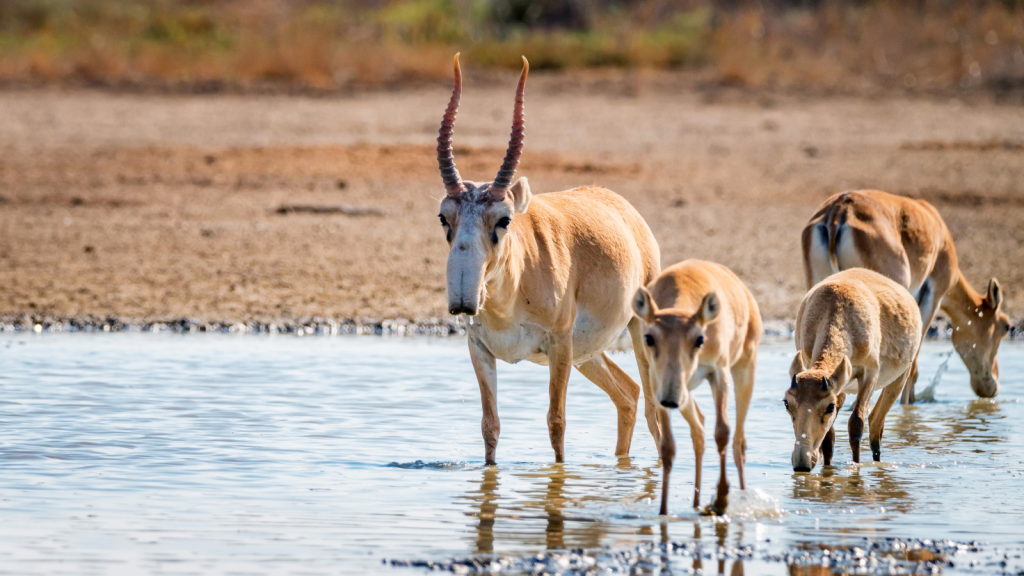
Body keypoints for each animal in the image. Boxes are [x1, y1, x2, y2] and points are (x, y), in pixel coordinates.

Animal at [434, 53, 659, 463]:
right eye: (445, 217)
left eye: (504, 219)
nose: (463, 298)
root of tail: (621, 205)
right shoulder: (480, 350)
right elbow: (489, 427)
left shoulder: (558, 346)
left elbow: (556, 422)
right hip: (588, 353)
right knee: (628, 394)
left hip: (638, 331)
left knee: (653, 408)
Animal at [630, 258, 761, 512]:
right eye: (649, 338)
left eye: (700, 339)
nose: (670, 399)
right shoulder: (659, 384)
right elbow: (667, 446)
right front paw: (663, 511)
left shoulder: (718, 374)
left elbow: (722, 432)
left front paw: (721, 499)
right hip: (684, 391)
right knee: (699, 428)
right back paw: (696, 502)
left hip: (744, 370)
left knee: (738, 442)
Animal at [782, 266, 921, 469]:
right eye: (787, 403)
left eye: (829, 407)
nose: (802, 463)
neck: (836, 306)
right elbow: (828, 437)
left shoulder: (870, 373)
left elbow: (856, 423)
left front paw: (856, 466)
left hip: (899, 378)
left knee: (875, 424)